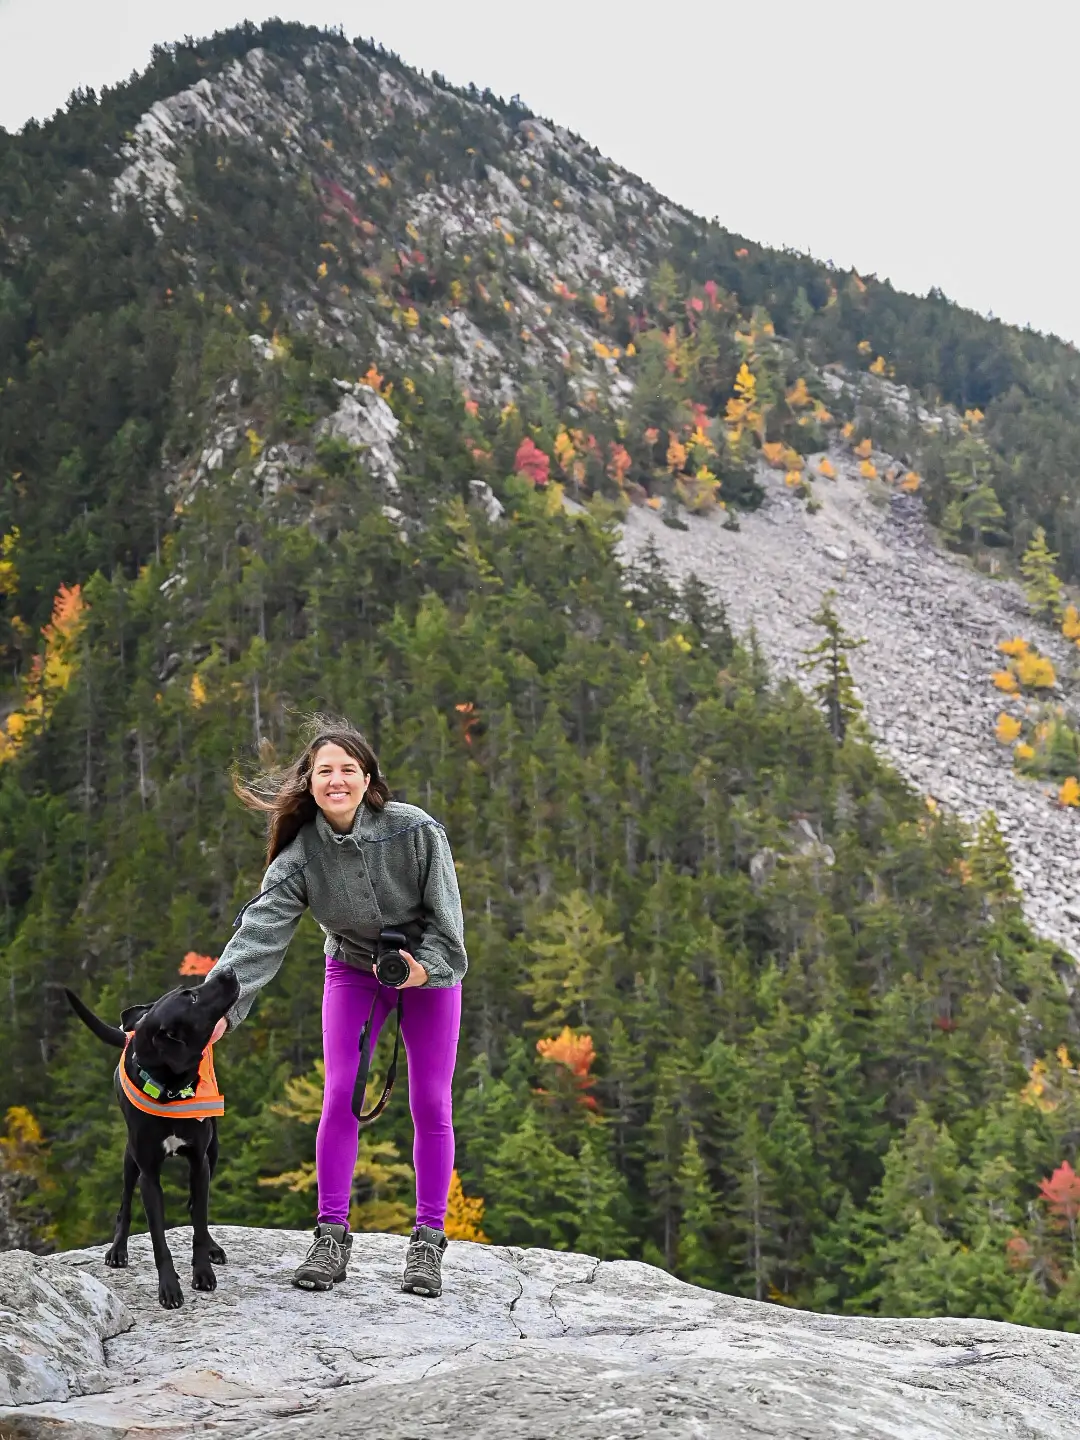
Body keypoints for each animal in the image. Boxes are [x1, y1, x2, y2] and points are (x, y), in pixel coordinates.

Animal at [66, 961, 240, 1313]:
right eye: (191, 997)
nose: (228, 970)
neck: (170, 1086)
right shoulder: (149, 1175)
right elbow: (159, 1239)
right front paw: (169, 1288)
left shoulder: (199, 1162)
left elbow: (199, 1222)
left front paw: (203, 1271)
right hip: (129, 1159)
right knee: (124, 1203)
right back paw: (118, 1250)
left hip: (213, 1149)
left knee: (196, 1208)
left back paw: (212, 1246)